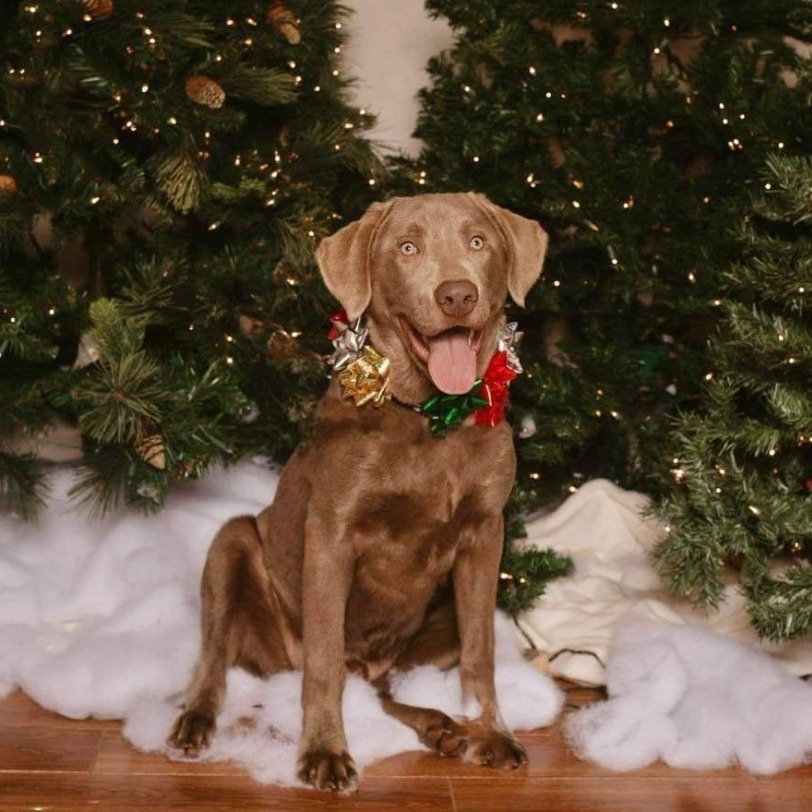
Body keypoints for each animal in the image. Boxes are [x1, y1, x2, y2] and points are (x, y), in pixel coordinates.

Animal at [167, 189, 548, 788]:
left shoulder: (486, 536)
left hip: (435, 620)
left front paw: (492, 733)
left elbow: (481, 653)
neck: (429, 418)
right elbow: (323, 664)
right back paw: (195, 721)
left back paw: (442, 727)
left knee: (386, 687)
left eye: (478, 241)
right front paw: (324, 753)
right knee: (216, 656)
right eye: (407, 248)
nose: (457, 295)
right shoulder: (331, 535)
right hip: (233, 544)